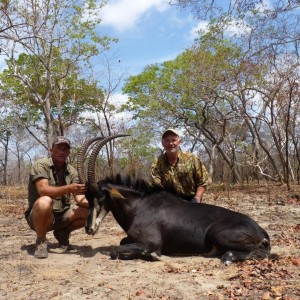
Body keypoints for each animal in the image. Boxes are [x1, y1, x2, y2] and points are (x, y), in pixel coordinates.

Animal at [77, 135, 270, 264]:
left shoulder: (151, 242)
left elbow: (114, 250)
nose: (88, 228)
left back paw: (229, 257)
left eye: (100, 196)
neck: (139, 206)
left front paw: (151, 255)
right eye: (87, 196)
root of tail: (261, 231)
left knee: (261, 252)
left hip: (219, 234)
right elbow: (120, 243)